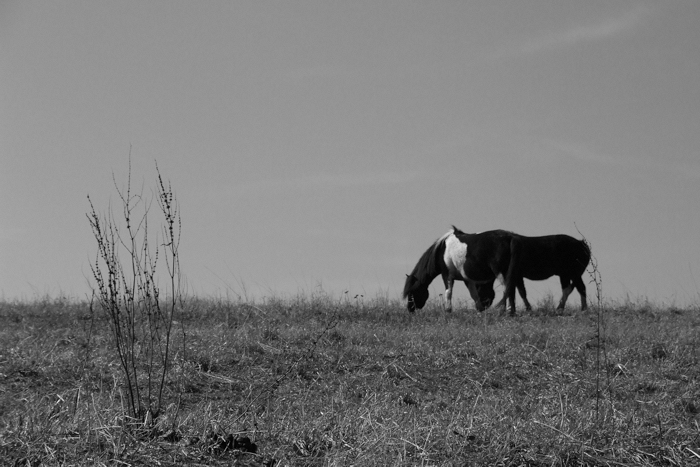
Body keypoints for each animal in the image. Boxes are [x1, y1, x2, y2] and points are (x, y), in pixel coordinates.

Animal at [404, 226, 592, 314]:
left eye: (412, 292)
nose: (410, 309)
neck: (443, 248)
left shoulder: (447, 275)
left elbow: (449, 292)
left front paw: (448, 310)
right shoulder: (467, 278)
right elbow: (475, 294)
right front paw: (480, 310)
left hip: (570, 273)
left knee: (579, 288)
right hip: (566, 274)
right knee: (570, 289)